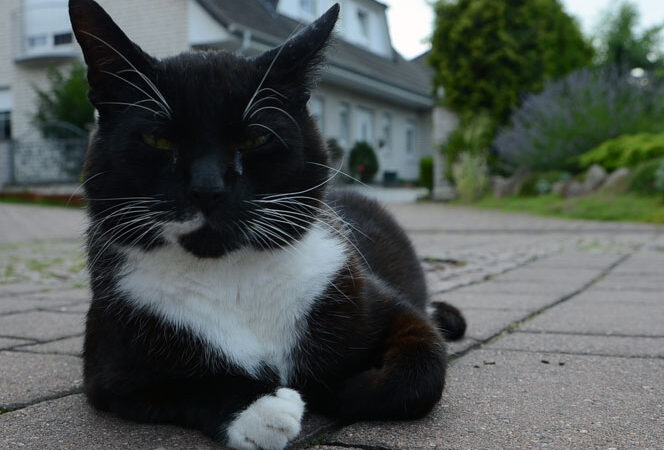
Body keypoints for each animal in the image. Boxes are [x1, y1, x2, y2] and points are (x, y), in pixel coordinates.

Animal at [68, 1, 466, 448]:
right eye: (158, 140)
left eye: (255, 139)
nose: (207, 188)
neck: (231, 275)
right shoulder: (109, 367)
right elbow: (181, 382)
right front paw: (259, 406)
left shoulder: (372, 300)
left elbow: (422, 368)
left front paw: (338, 388)